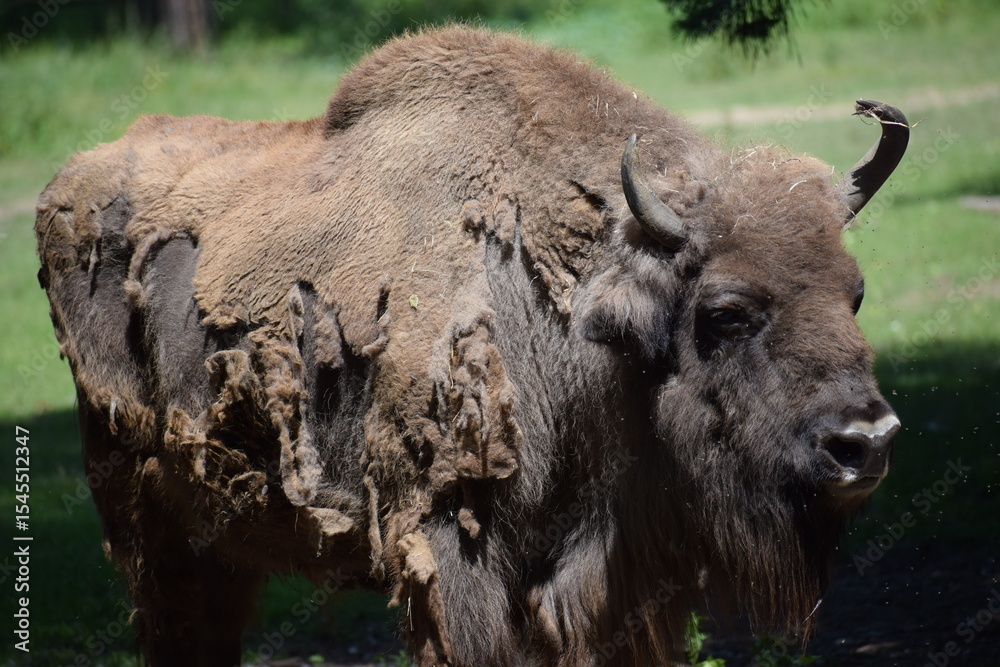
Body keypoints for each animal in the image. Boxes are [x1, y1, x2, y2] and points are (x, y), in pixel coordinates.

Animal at [36, 26, 907, 666]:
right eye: (725, 311)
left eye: (855, 292)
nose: (865, 441)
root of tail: (67, 185)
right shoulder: (454, 566)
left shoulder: (605, 588)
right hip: (151, 528)